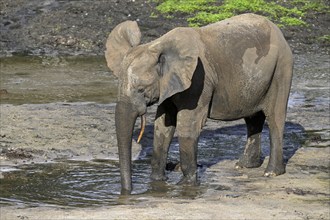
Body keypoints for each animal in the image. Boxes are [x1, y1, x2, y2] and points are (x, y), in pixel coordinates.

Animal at [105, 12, 292, 194]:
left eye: (141, 89)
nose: (128, 192)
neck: (157, 46)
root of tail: (278, 31)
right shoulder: (169, 84)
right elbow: (163, 125)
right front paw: (157, 181)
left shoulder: (198, 81)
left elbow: (188, 124)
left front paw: (185, 185)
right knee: (253, 119)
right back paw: (244, 165)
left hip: (281, 67)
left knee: (275, 117)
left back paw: (271, 172)